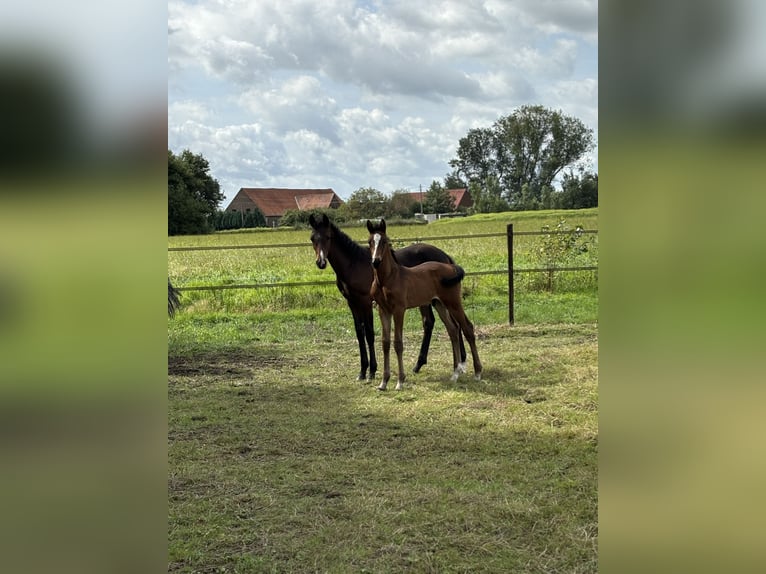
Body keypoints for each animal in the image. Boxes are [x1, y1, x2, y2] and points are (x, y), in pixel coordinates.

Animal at [308, 212, 464, 382]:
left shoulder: (366, 302)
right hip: (430, 300)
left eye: (328, 237)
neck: (354, 264)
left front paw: (372, 371)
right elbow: (359, 332)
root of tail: (445, 256)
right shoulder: (352, 302)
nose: (320, 262)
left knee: (452, 323)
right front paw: (362, 371)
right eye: (312, 238)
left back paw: (460, 364)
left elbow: (369, 333)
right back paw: (422, 364)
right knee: (432, 323)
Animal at [368, 219, 484, 392]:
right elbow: (385, 343)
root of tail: (452, 266)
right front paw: (383, 382)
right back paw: (455, 374)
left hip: (453, 303)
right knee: (453, 330)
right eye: (370, 242)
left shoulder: (399, 310)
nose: (376, 261)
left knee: (467, 328)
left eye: (384, 241)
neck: (387, 279)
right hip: (439, 304)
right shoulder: (383, 310)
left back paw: (477, 372)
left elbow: (398, 343)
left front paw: (400, 381)